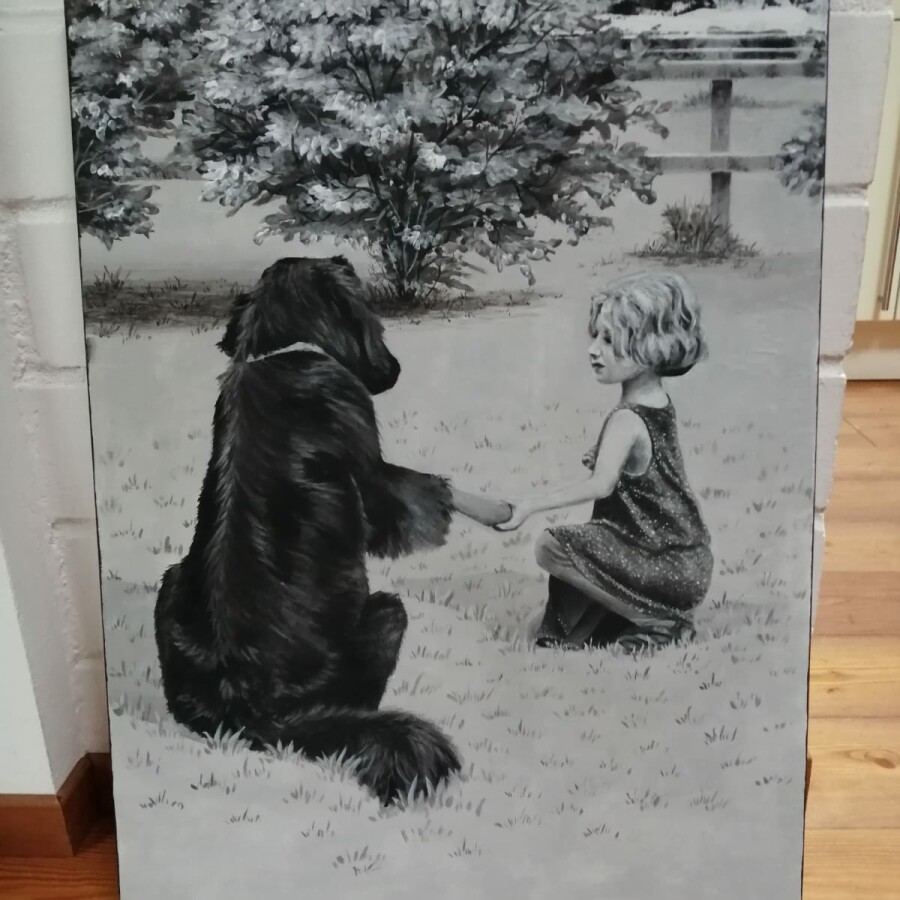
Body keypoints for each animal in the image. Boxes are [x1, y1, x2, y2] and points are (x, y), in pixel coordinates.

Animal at [154, 256, 464, 804]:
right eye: (372, 318)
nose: (395, 370)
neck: (281, 350)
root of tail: (252, 704)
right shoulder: (367, 454)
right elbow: (403, 498)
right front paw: (445, 501)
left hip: (169, 582)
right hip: (386, 614)